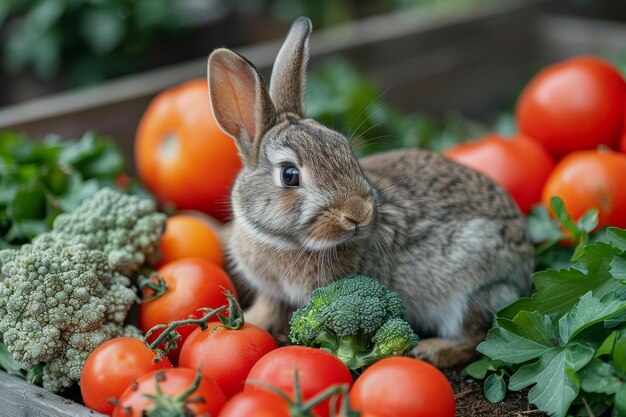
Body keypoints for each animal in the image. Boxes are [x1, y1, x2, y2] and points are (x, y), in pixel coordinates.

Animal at [207, 17, 528, 368]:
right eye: (289, 175)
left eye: (348, 152)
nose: (359, 214)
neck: (283, 242)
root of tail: (526, 265)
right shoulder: (272, 292)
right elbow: (268, 309)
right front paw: (251, 322)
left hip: (469, 292)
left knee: (478, 338)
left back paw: (431, 350)